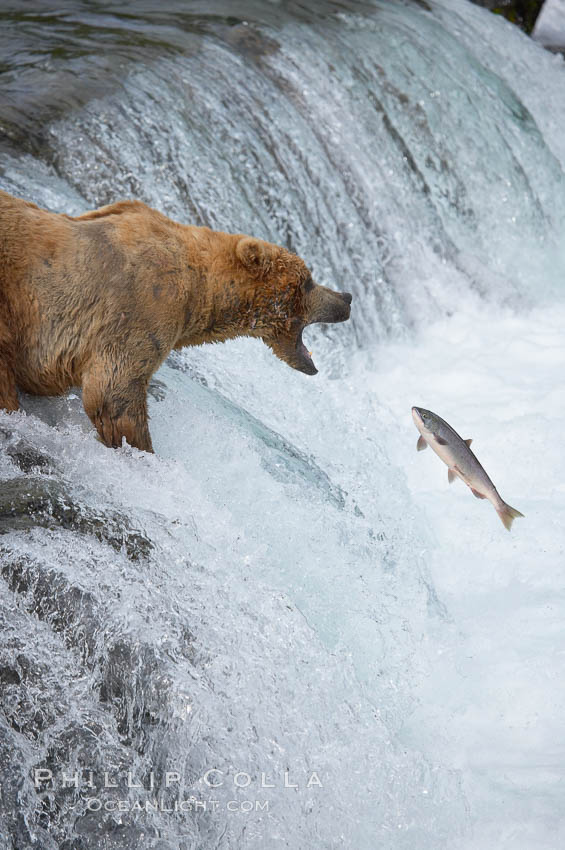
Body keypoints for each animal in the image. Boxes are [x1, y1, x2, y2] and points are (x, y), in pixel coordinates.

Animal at [0, 191, 350, 454]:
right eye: (307, 282)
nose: (346, 298)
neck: (201, 291)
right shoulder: (141, 307)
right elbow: (114, 392)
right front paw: (144, 452)